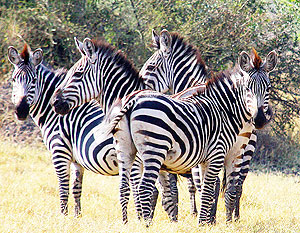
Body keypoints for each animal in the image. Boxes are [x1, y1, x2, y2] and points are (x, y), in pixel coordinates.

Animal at [100, 49, 272, 226]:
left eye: (268, 88)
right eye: (247, 88)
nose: (259, 119)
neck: (223, 110)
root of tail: (132, 100)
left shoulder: (208, 158)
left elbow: (203, 190)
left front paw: (204, 222)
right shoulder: (216, 154)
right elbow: (204, 190)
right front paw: (202, 223)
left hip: (127, 150)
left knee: (125, 187)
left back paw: (128, 223)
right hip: (154, 150)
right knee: (144, 187)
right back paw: (146, 224)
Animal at [139, 29, 278, 222]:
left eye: (151, 67)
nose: (260, 119)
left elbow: (190, 186)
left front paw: (196, 214)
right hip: (245, 152)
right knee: (237, 186)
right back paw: (233, 218)